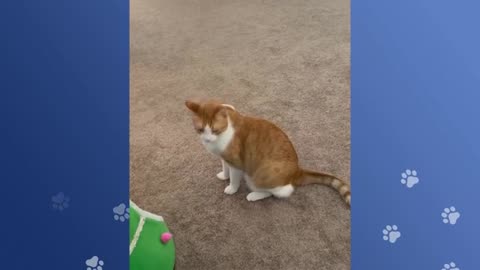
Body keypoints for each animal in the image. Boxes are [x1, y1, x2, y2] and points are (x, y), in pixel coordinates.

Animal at [186, 99, 350, 207]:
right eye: (200, 130)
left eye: (214, 130)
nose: (207, 140)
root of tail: (297, 170)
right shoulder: (224, 158)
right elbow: (225, 168)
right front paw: (223, 176)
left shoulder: (235, 163)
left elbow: (233, 179)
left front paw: (231, 188)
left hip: (256, 177)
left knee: (280, 191)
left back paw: (253, 195)